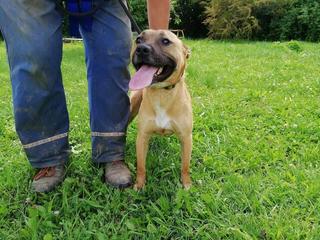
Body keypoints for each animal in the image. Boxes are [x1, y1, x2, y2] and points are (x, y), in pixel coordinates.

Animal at [128, 29, 192, 189]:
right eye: (138, 39)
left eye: (165, 41)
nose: (141, 49)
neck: (162, 93)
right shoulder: (142, 137)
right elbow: (141, 166)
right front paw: (139, 186)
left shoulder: (186, 137)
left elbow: (185, 166)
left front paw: (186, 185)